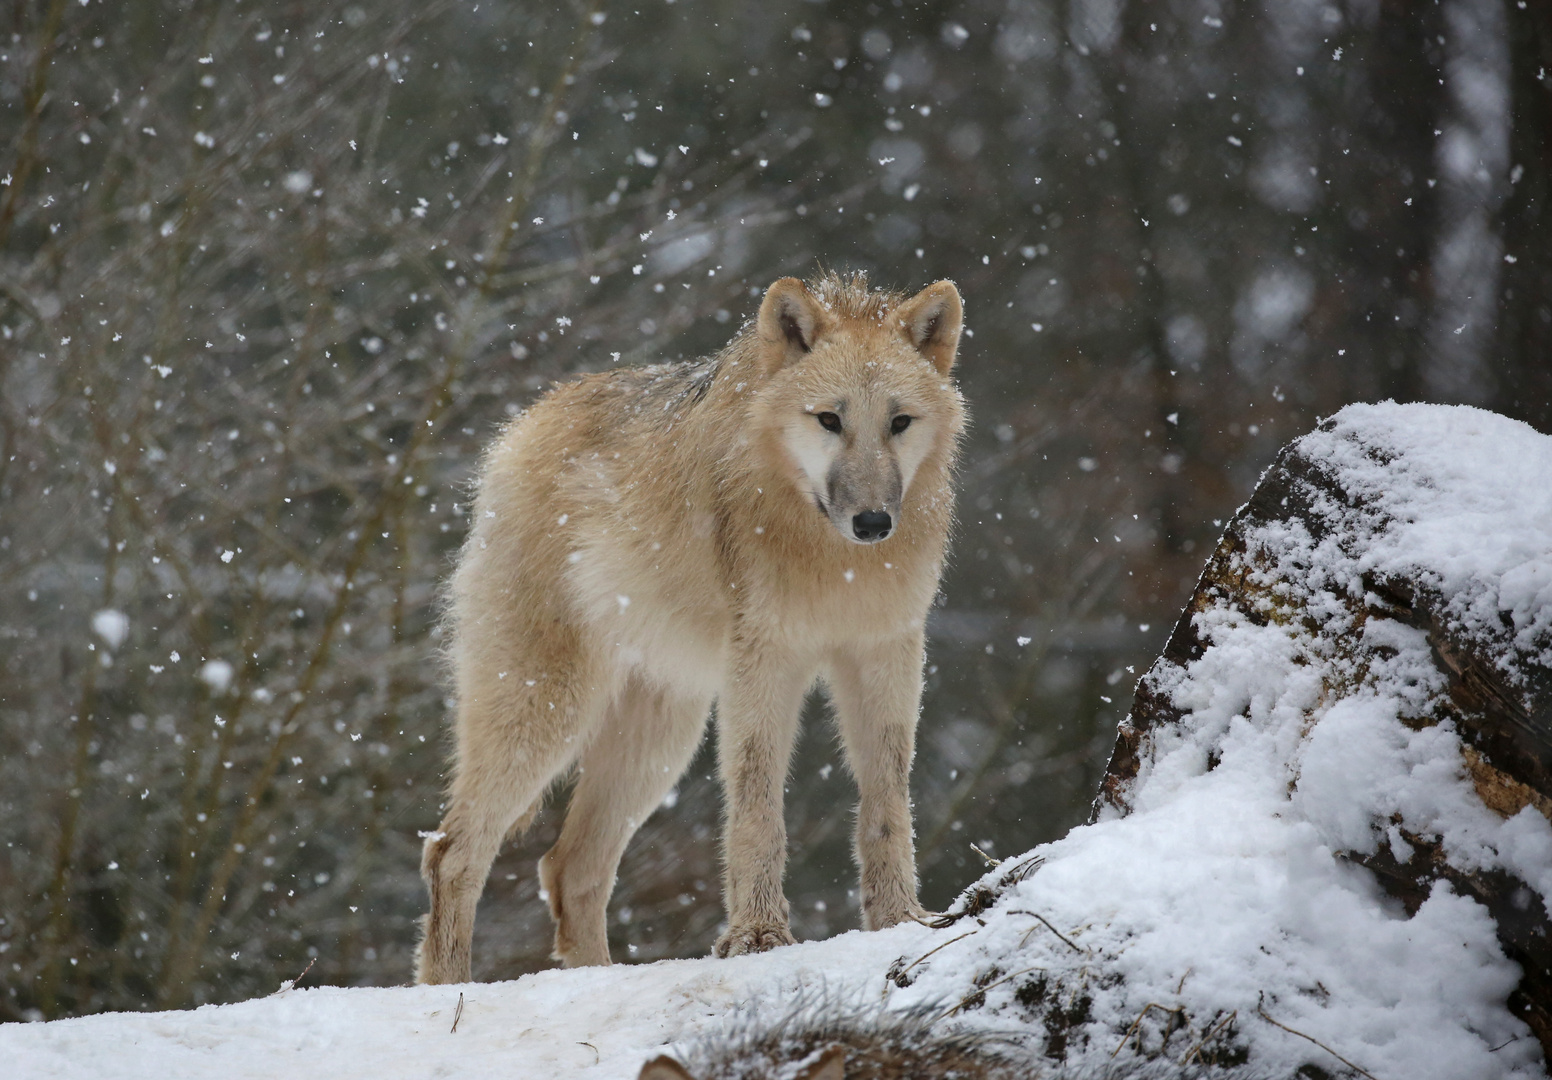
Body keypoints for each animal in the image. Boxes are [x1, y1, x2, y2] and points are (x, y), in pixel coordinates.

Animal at [419, 268, 962, 980]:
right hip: (547, 711)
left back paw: (597, 978)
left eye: (899, 423)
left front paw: (901, 921)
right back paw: (444, 988)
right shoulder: (765, 661)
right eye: (829, 419)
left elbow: (887, 799)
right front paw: (757, 936)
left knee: (568, 867)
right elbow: (757, 804)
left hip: (660, 742)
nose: (872, 523)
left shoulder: (887, 652)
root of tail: (520, 427)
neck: (836, 566)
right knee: (451, 852)